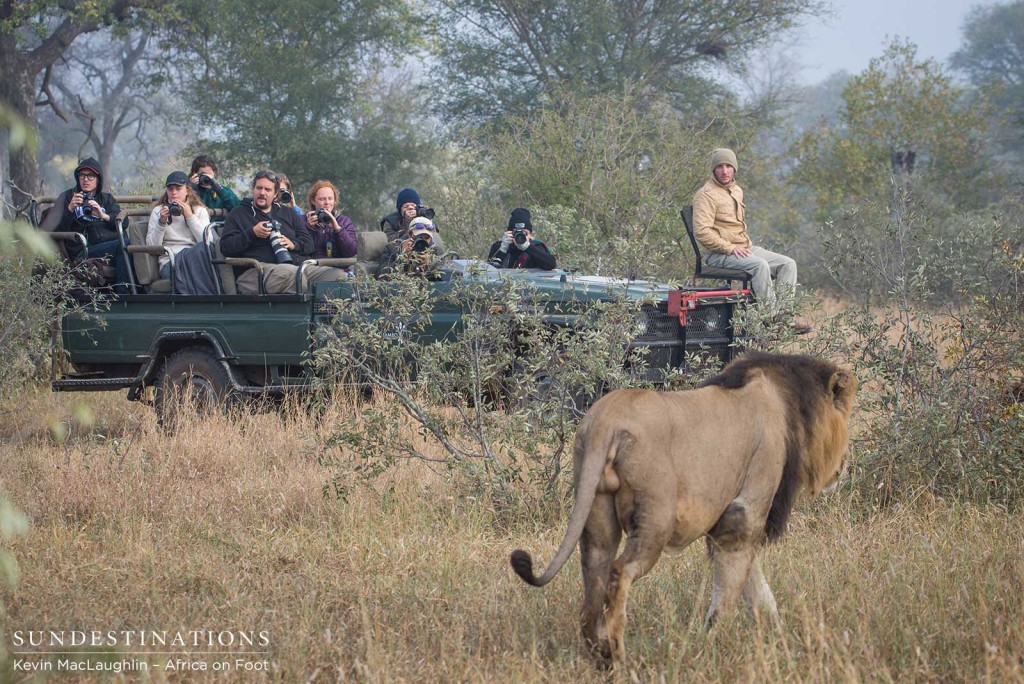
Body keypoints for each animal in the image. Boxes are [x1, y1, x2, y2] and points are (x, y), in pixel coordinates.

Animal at [512, 352, 856, 663]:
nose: (845, 463)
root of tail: (605, 422)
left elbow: (755, 585)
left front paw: (778, 632)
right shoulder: (745, 511)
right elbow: (731, 586)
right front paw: (714, 640)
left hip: (597, 512)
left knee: (594, 581)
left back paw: (597, 652)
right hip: (655, 520)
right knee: (621, 571)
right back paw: (617, 653)